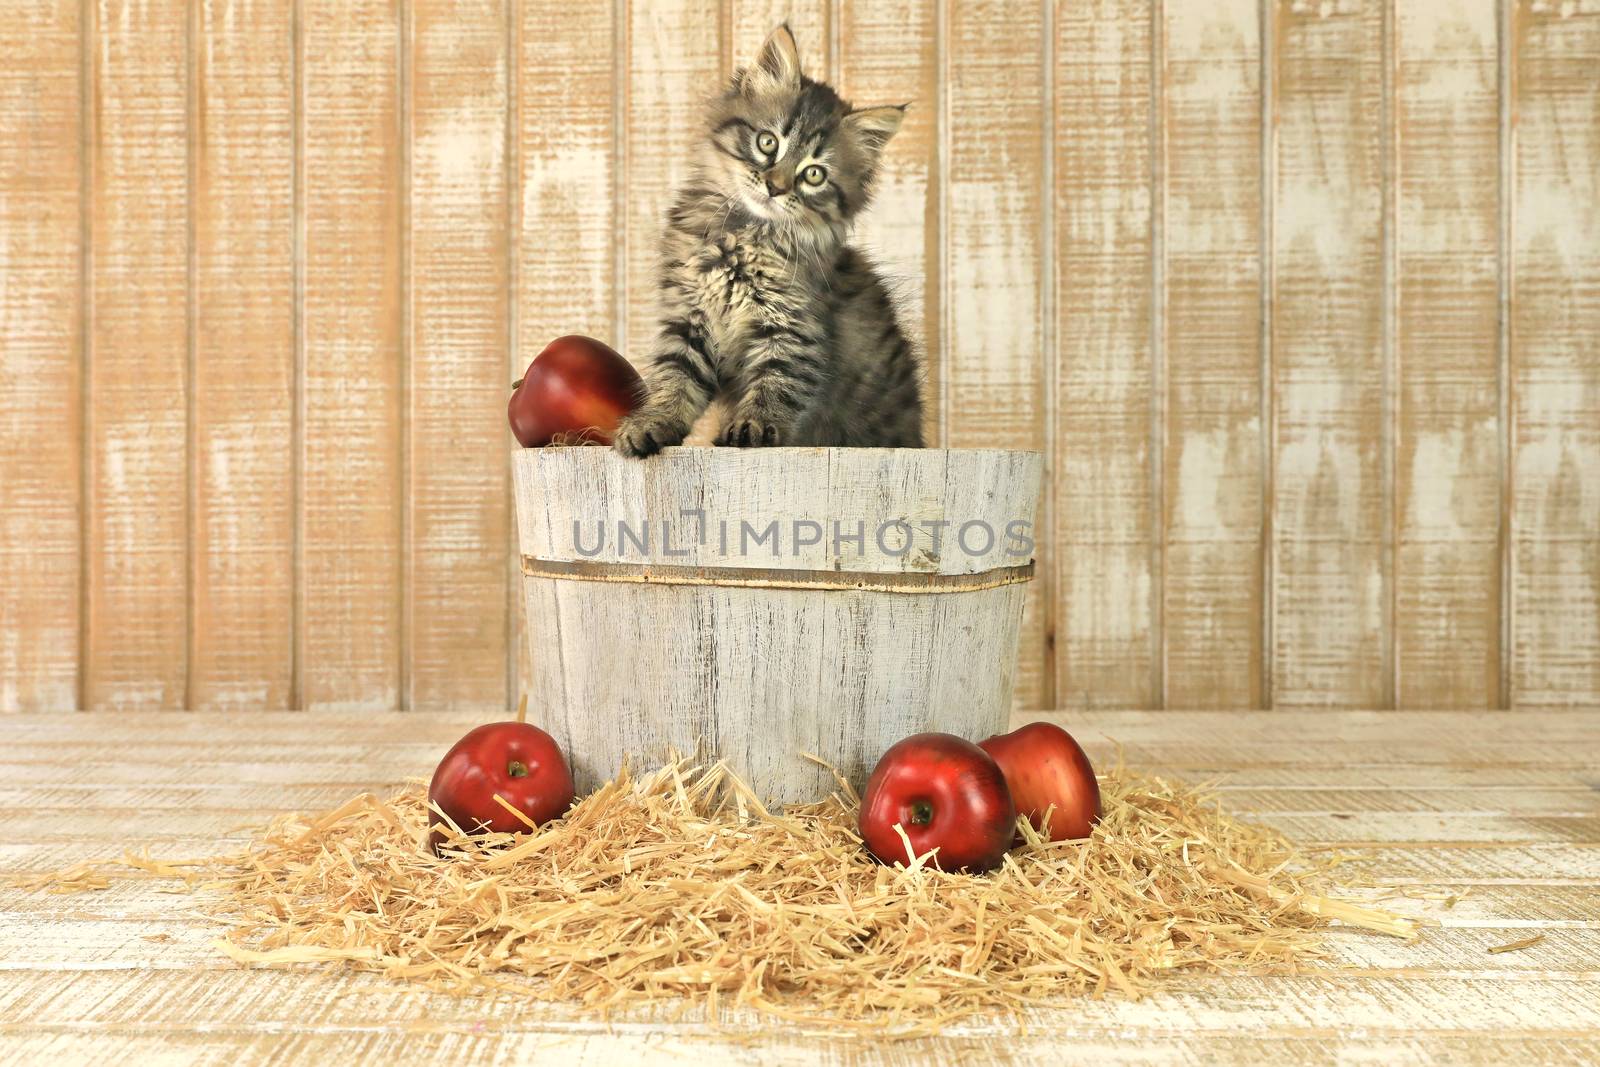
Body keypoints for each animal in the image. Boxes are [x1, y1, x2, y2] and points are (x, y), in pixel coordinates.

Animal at [611, 20, 928, 454]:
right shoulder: (689, 315)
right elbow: (675, 377)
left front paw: (752, 427)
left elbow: (775, 384)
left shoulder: (792, 328)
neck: (745, 236)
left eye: (814, 174)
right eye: (768, 142)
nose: (775, 187)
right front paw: (652, 422)